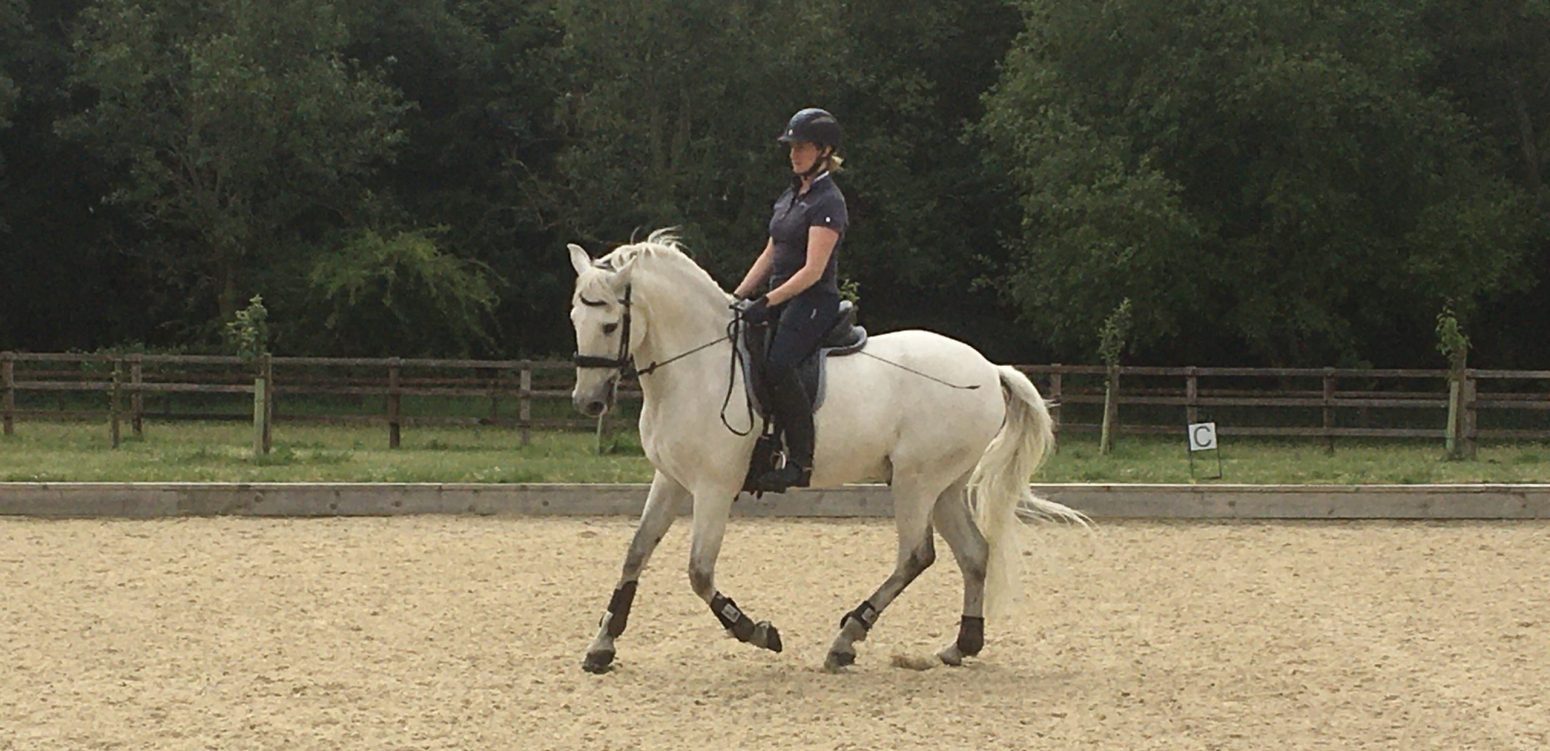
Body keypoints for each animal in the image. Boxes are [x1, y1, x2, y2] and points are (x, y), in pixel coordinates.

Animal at [564, 229, 1085, 672]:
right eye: (575, 319)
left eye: (609, 324)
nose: (588, 402)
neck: (696, 368)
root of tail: (989, 368)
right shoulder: (670, 480)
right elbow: (635, 553)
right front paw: (602, 646)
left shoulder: (713, 488)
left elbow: (698, 573)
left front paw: (757, 631)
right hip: (945, 485)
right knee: (974, 553)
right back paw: (962, 645)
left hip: (916, 481)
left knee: (916, 556)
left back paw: (847, 639)